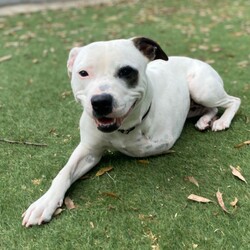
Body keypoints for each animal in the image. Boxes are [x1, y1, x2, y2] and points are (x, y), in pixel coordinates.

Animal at [22, 37, 240, 227]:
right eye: (83, 73)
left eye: (126, 71)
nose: (101, 102)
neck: (122, 128)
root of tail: (197, 60)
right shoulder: (88, 150)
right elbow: (64, 173)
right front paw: (44, 203)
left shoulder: (165, 140)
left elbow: (137, 148)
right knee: (210, 109)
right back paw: (205, 120)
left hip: (202, 89)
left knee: (233, 100)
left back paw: (222, 121)